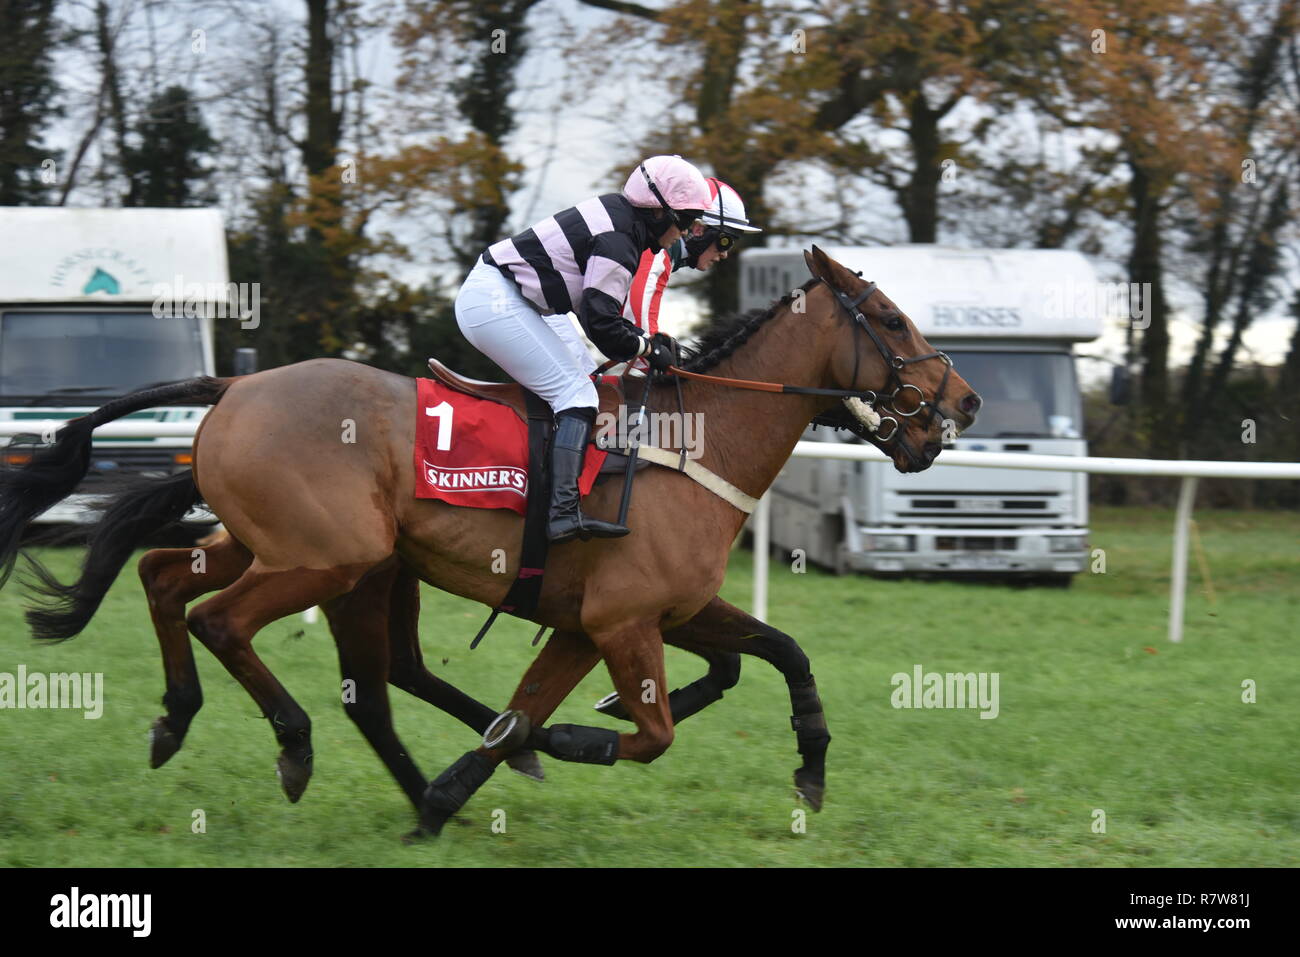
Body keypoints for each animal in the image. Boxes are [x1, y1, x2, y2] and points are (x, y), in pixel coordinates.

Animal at [0, 248, 977, 837]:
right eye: (891, 318)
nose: (962, 402)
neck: (693, 442)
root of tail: (234, 388)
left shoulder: (624, 616)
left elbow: (775, 652)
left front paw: (809, 766)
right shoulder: (622, 621)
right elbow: (645, 728)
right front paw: (574, 738)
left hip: (288, 546)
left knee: (170, 578)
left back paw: (178, 718)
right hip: (327, 557)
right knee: (228, 623)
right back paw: (292, 743)